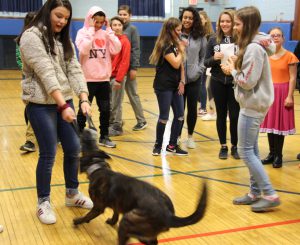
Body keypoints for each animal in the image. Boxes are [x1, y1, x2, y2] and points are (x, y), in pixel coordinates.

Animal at [74, 129, 207, 244]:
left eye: (84, 144)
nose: (86, 129)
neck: (98, 167)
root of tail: (169, 215)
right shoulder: (117, 203)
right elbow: (115, 213)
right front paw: (112, 221)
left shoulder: (98, 207)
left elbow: (87, 216)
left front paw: (78, 221)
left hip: (128, 222)